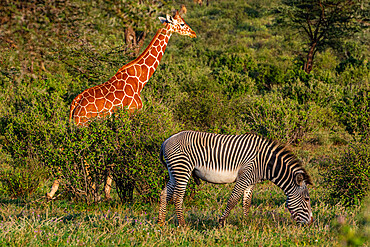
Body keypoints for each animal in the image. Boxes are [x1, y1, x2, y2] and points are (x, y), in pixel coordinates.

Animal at [46, 11, 198, 201]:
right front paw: (115, 190)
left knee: (64, 147)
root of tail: (75, 103)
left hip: (73, 125)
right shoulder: (132, 115)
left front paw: (109, 190)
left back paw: (53, 191)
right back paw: (90, 191)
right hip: (84, 125)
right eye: (182, 23)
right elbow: (126, 148)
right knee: (83, 151)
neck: (140, 80)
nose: (194, 33)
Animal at [158, 130, 314, 227]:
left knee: (165, 193)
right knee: (177, 197)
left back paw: (161, 222)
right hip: (182, 169)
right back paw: (183, 225)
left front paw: (246, 223)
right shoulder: (244, 177)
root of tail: (166, 141)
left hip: (174, 171)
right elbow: (233, 200)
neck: (265, 163)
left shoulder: (251, 181)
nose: (312, 222)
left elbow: (247, 202)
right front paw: (221, 223)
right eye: (307, 199)